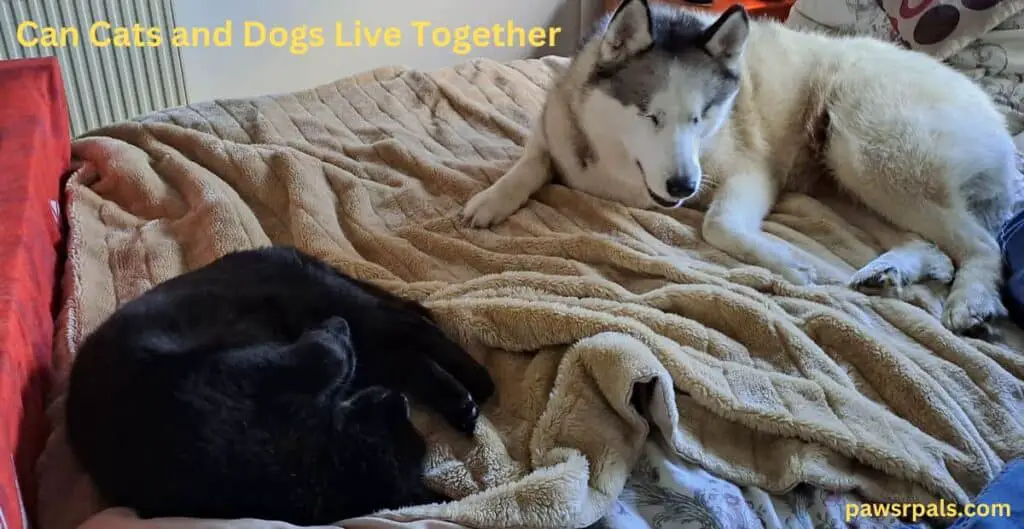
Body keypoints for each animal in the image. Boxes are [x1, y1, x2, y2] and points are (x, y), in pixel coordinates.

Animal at [64, 244, 495, 523]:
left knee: (415, 326)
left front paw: (332, 334)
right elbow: (331, 356)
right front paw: (333, 336)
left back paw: (477, 383)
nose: (400, 402)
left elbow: (329, 355)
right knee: (409, 347)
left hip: (355, 315)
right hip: (363, 335)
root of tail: (277, 249)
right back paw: (464, 398)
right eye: (398, 420)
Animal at [462, 0, 1015, 333]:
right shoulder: (557, 126)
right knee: (934, 242)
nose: (683, 185)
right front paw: (491, 200)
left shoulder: (750, 174)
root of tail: (996, 116)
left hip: (865, 147)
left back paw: (970, 298)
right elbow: (531, 160)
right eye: (650, 115)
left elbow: (718, 225)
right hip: (857, 173)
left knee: (983, 244)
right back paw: (896, 268)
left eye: (701, 115)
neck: (616, 165)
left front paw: (789, 262)